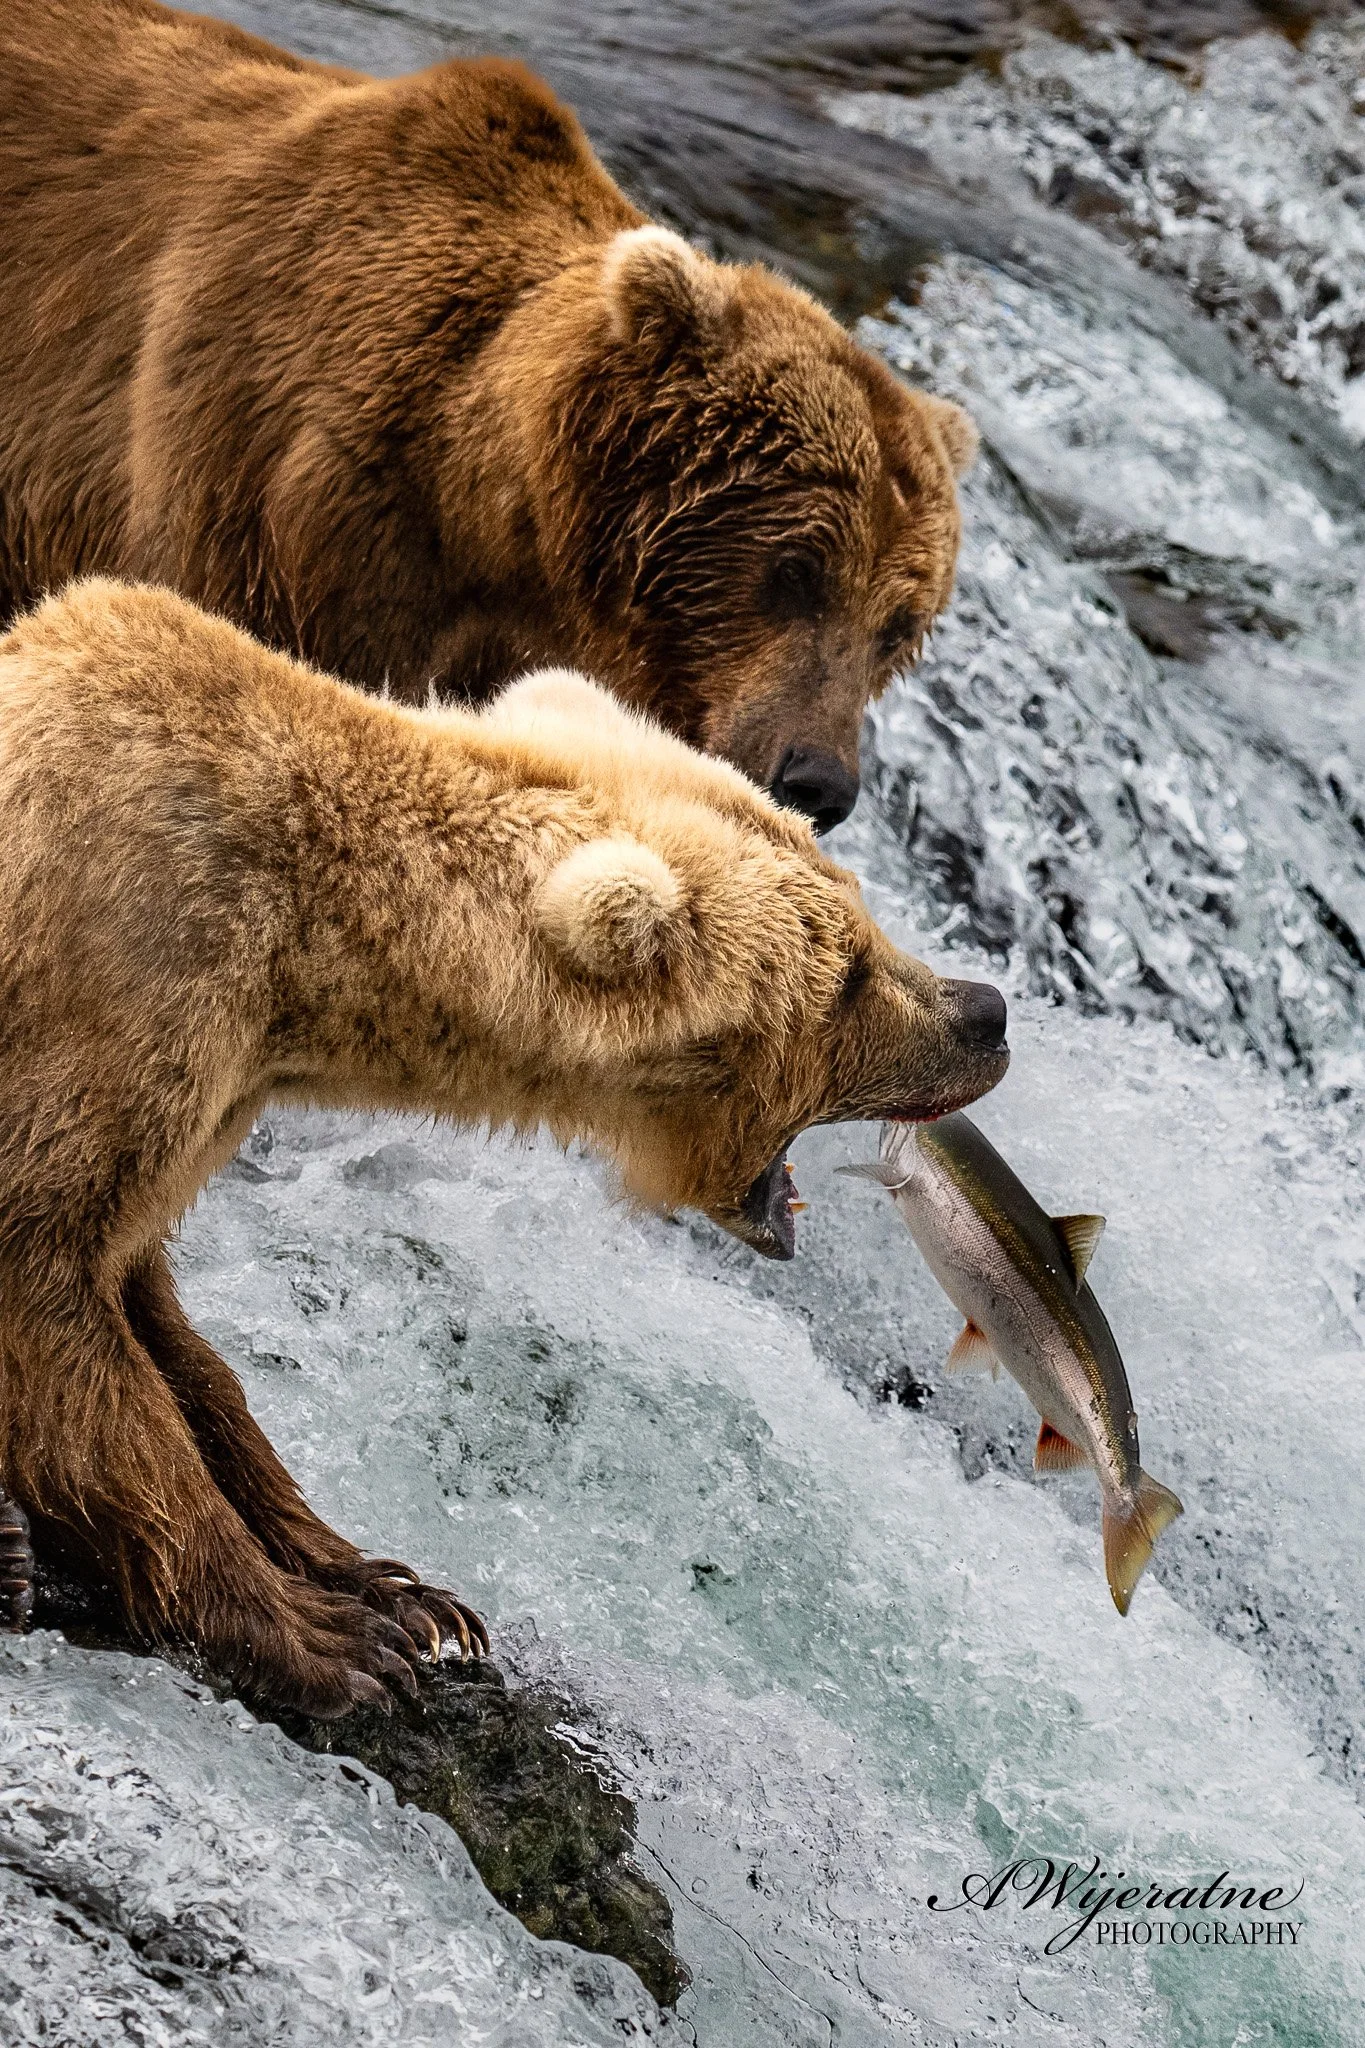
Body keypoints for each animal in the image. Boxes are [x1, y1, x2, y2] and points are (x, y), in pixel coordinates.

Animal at [0, 579, 1009, 1712]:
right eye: (843, 975)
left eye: (861, 908)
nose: (986, 1010)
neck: (305, 966)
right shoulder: (126, 972)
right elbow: (54, 1302)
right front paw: (331, 1636)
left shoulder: (200, 1090)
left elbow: (167, 1324)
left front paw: (390, 1585)